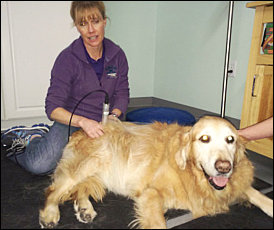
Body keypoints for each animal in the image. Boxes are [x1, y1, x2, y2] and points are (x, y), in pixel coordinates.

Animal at [39, 116, 272, 229]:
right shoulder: (151, 193)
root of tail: (81, 129)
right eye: (204, 139)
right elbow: (158, 223)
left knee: (80, 189)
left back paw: (85, 208)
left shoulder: (233, 182)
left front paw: (269, 205)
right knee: (52, 191)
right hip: (89, 164)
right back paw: (50, 214)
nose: (224, 167)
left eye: (230, 139)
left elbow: (252, 191)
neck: (193, 174)